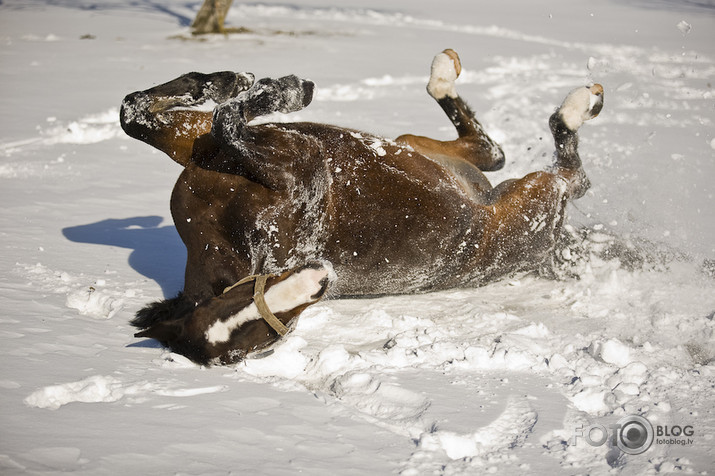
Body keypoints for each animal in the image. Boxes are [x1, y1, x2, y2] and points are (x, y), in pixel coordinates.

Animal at [121, 47, 604, 360]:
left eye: (240, 301)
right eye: (259, 345)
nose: (318, 276)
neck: (227, 227)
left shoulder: (198, 144)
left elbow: (140, 113)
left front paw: (235, 83)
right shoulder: (291, 166)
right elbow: (218, 121)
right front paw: (279, 89)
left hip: (418, 149)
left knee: (496, 150)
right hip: (538, 192)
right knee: (563, 171)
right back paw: (576, 104)